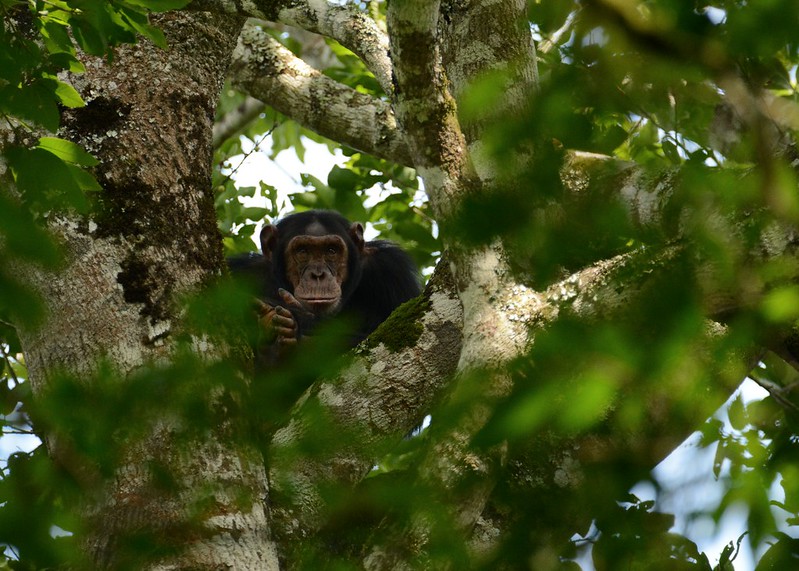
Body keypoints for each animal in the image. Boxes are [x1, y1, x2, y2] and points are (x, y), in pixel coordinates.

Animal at [228, 210, 422, 362]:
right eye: (302, 251)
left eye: (331, 250)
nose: (318, 274)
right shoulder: (241, 272)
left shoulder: (391, 269)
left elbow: (395, 331)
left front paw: (298, 316)